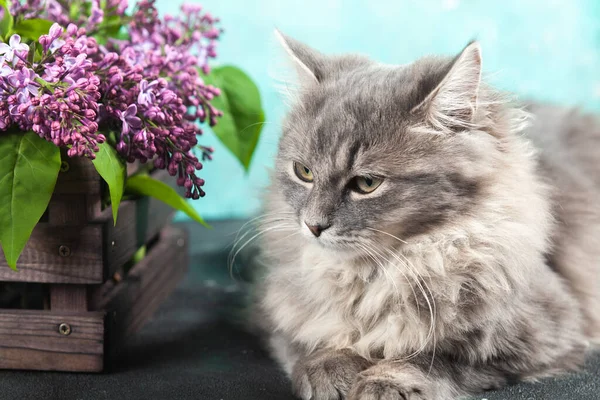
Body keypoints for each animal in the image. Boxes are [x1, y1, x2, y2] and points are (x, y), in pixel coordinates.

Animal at [252, 32, 600, 400]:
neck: (378, 274)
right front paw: (330, 367)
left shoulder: (550, 328)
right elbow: (311, 340)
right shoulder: (276, 315)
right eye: (303, 172)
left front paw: (385, 381)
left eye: (367, 183)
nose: (313, 225)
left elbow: (437, 357)